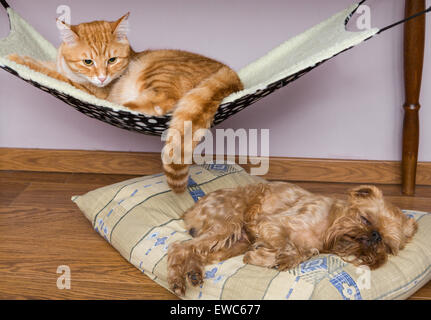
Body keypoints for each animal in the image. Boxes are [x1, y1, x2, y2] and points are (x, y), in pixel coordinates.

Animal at [7, 13, 243, 192]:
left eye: (112, 60)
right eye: (88, 61)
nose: (103, 78)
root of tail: (232, 74)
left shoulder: (90, 91)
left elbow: (49, 73)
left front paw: (17, 59)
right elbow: (46, 65)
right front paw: (27, 58)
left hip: (159, 72)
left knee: (162, 103)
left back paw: (120, 108)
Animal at [168, 181, 418, 296]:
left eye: (386, 244)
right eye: (365, 219)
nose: (374, 235)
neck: (329, 222)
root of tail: (189, 209)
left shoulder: (308, 247)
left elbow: (300, 252)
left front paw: (263, 258)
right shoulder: (269, 224)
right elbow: (286, 245)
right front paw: (277, 257)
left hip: (235, 243)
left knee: (196, 252)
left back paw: (193, 273)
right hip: (228, 223)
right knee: (179, 247)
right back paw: (177, 281)